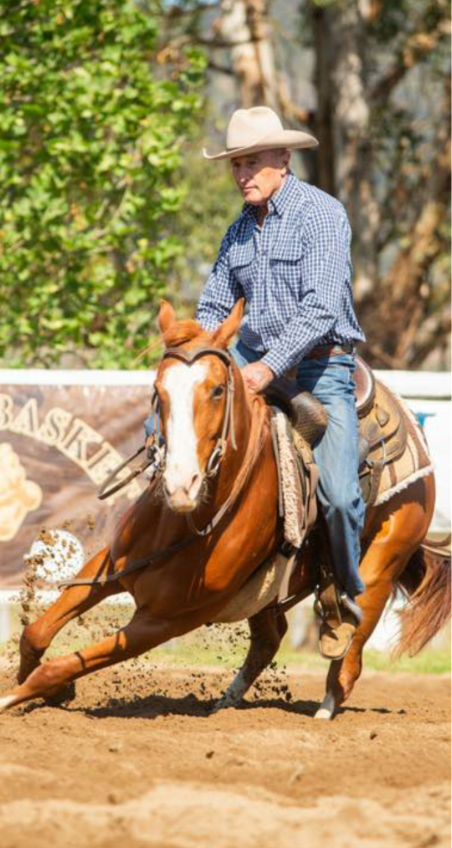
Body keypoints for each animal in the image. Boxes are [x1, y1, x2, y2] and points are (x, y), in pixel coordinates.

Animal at [0, 300, 449, 719]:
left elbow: (58, 666)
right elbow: (35, 634)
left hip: (383, 561)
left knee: (351, 650)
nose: (181, 484)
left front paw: (29, 694)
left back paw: (325, 704)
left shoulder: (165, 621)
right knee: (270, 637)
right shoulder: (109, 565)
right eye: (158, 389)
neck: (185, 524)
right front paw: (48, 689)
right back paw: (227, 702)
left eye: (218, 390)